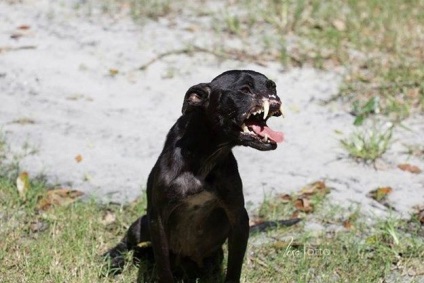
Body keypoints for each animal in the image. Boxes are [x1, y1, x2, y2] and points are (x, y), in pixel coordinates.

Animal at [104, 70, 286, 282]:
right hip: (141, 225)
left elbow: (235, 265)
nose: (274, 97)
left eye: (272, 86)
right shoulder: (157, 220)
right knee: (129, 243)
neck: (204, 158)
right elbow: (163, 266)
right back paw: (114, 259)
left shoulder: (238, 218)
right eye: (245, 89)